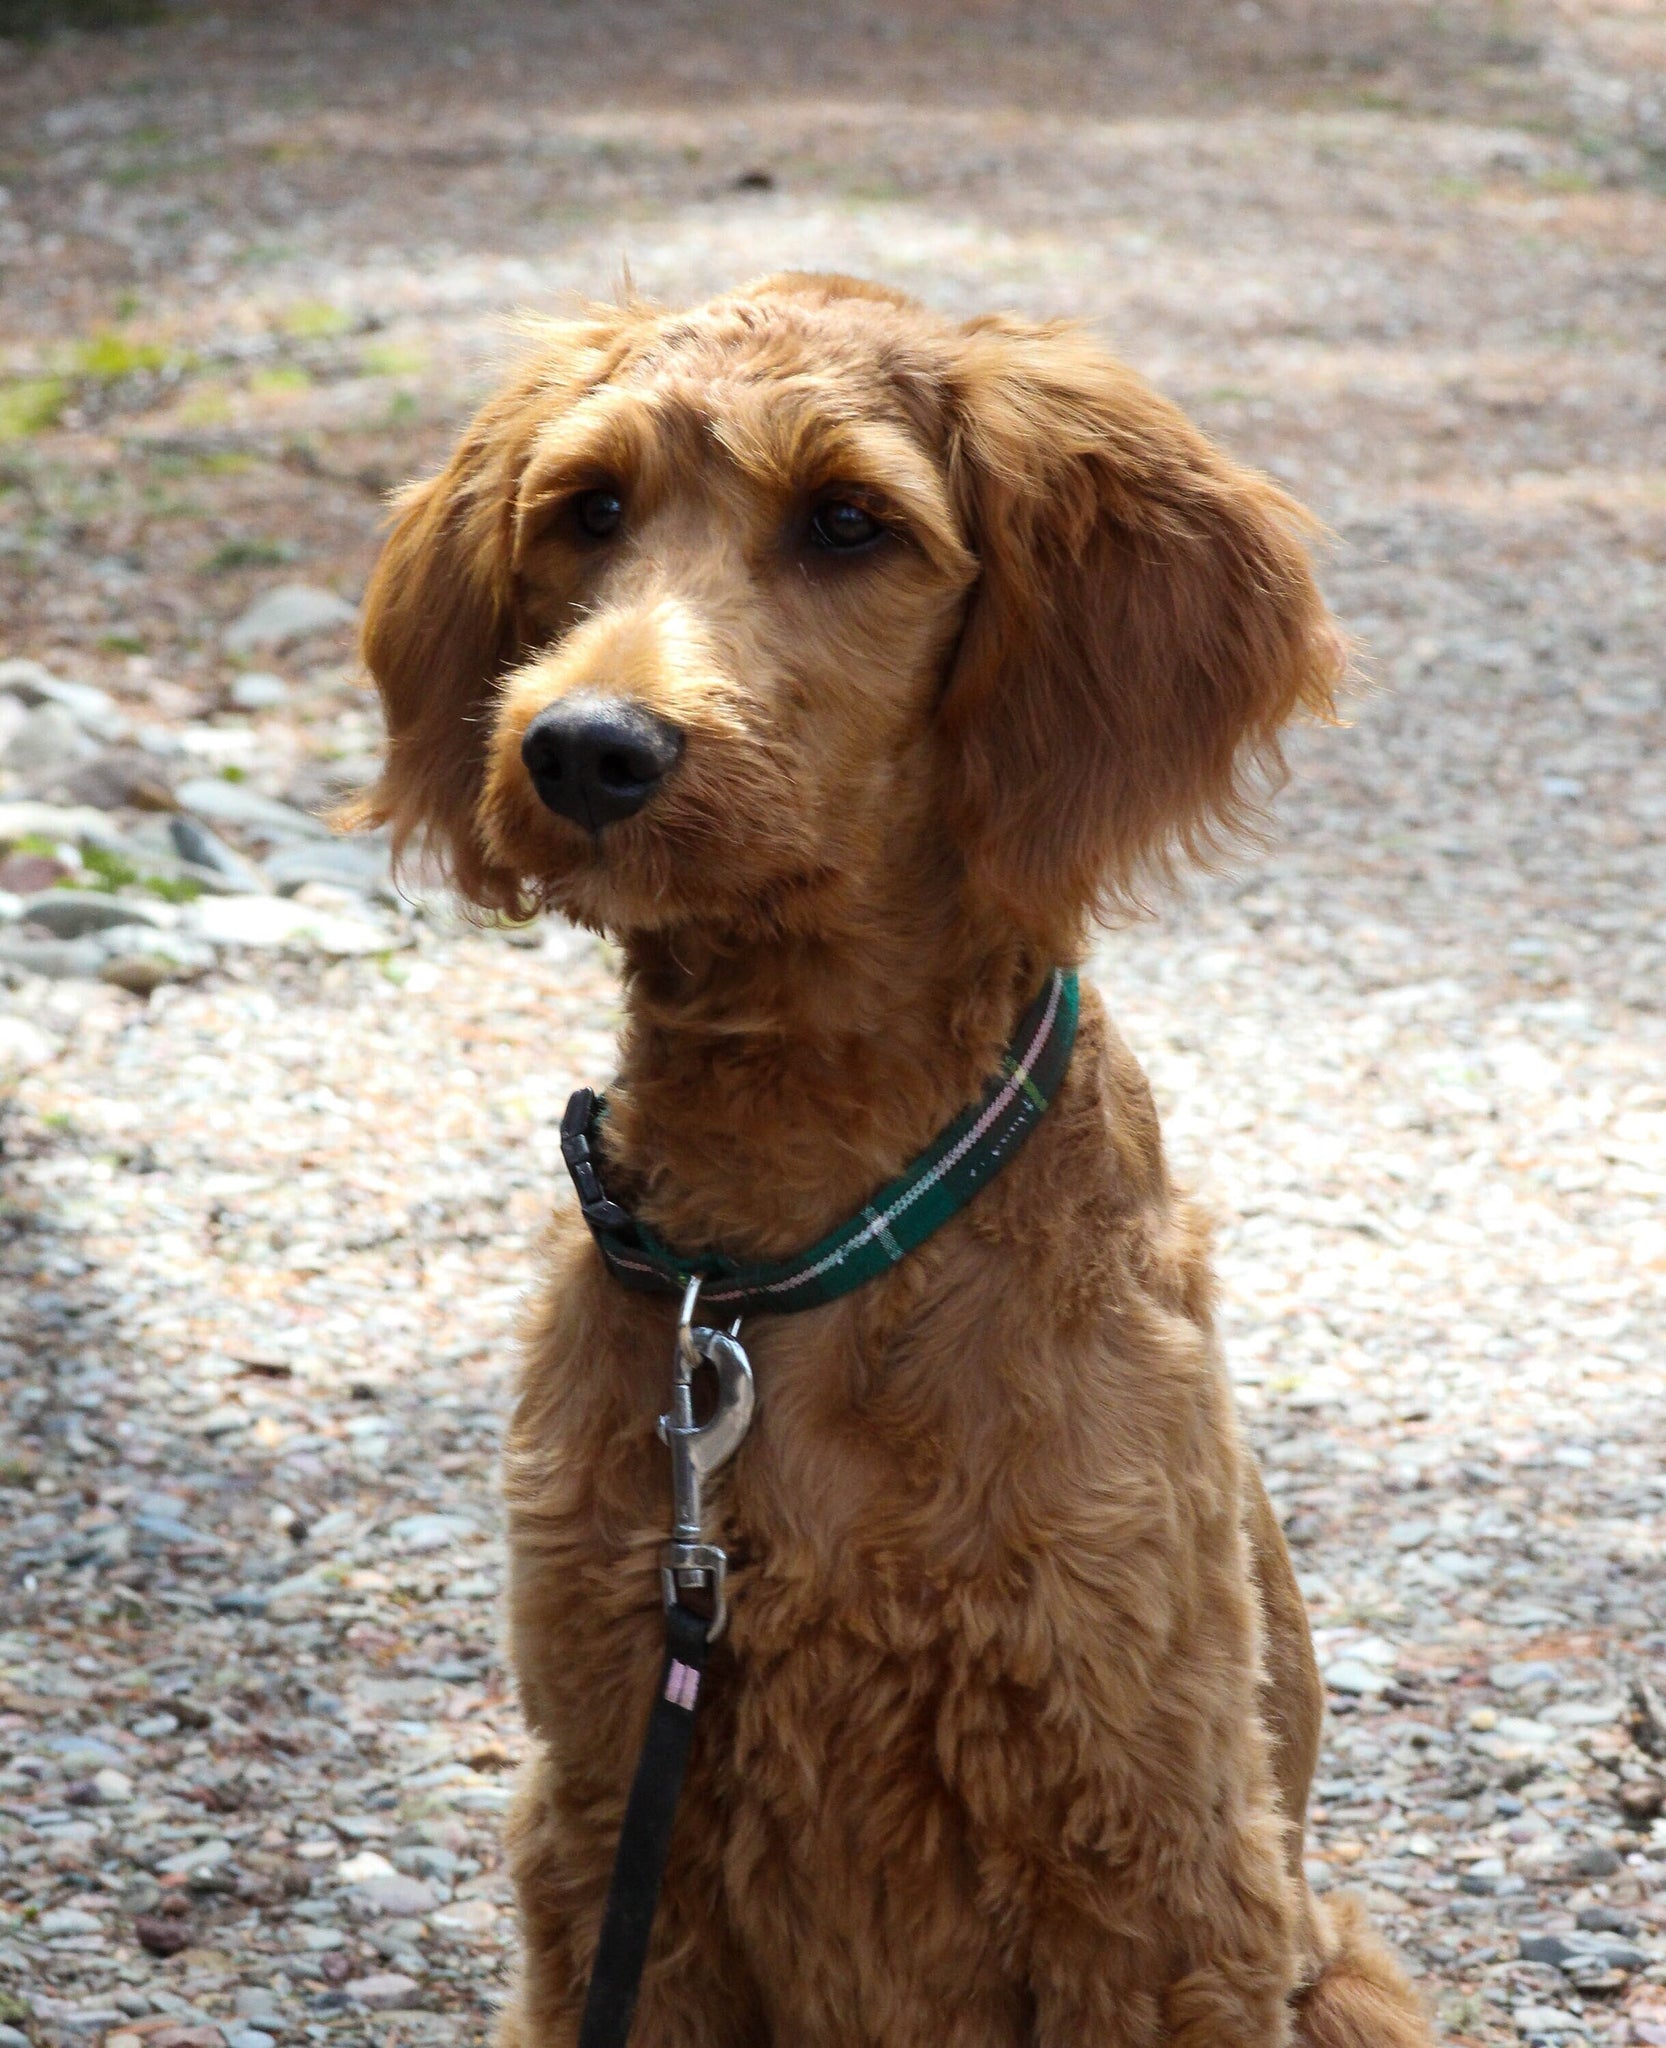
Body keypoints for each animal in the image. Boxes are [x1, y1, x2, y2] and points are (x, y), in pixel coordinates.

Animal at [356, 276, 1434, 2048]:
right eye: (589, 510)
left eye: (849, 522)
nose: (585, 748)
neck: (791, 1245)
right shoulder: (607, 1818)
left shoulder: (1150, 1861)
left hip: (1335, 1974)